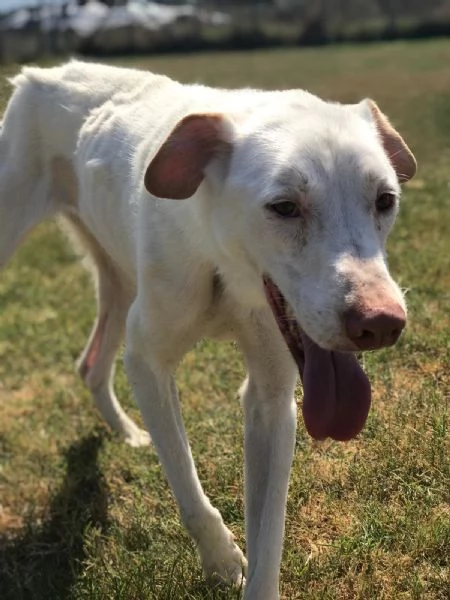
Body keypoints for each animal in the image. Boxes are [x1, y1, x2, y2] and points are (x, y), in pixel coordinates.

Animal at [0, 63, 414, 596]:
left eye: (385, 200)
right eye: (284, 206)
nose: (381, 323)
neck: (222, 267)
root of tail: (42, 73)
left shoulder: (271, 401)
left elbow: (269, 540)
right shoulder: (147, 362)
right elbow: (187, 487)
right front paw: (220, 559)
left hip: (118, 280)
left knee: (91, 364)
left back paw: (127, 432)